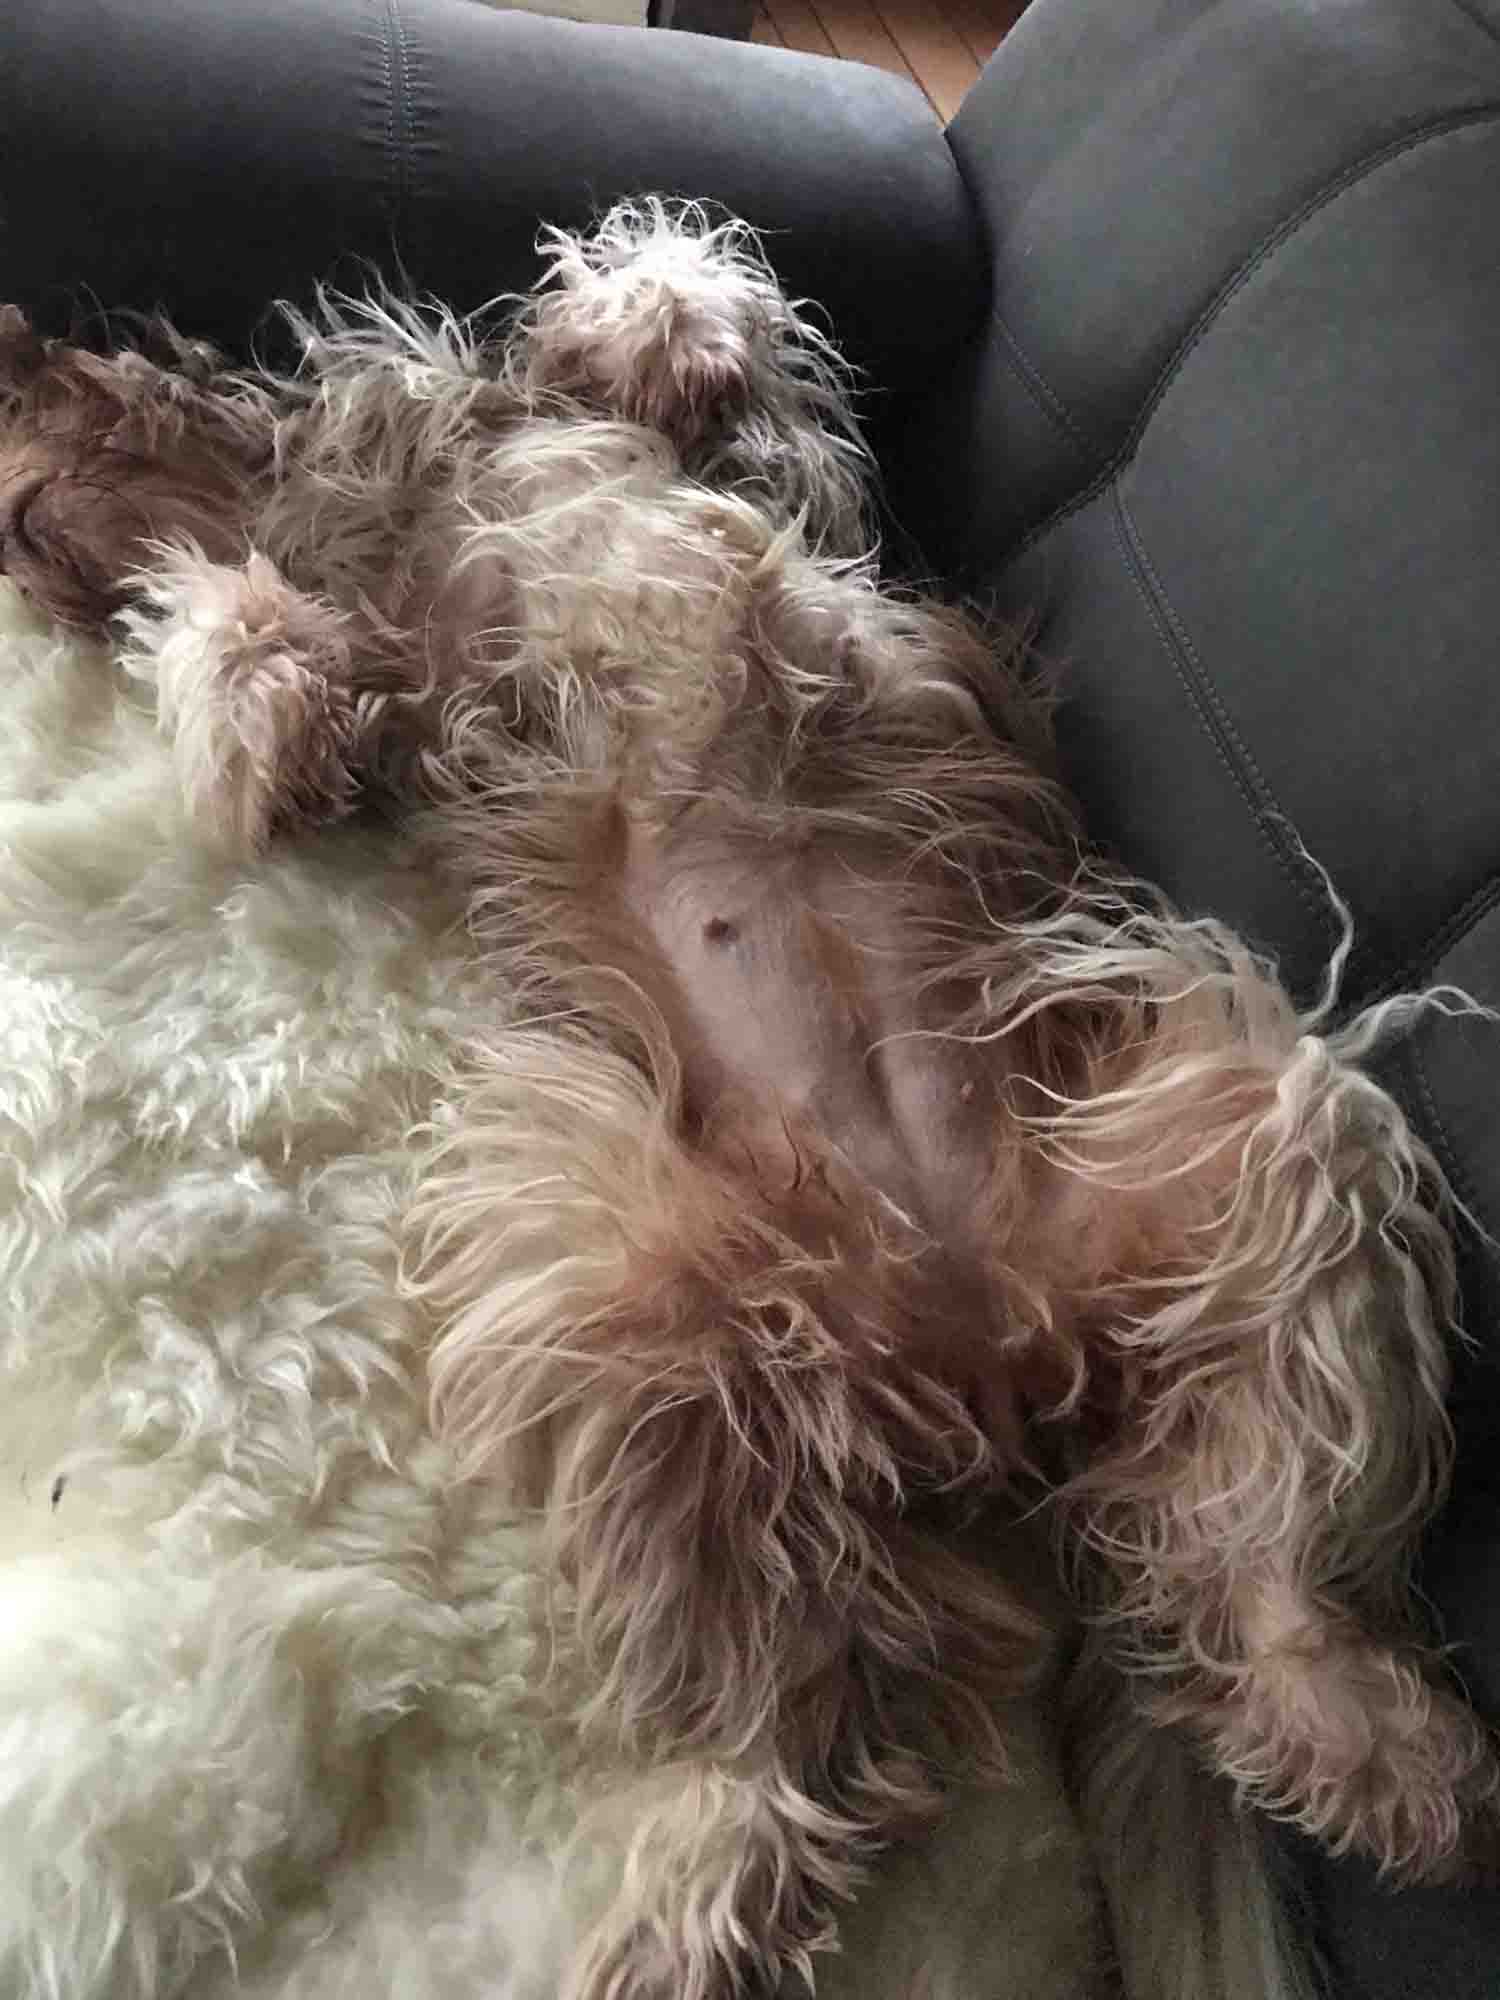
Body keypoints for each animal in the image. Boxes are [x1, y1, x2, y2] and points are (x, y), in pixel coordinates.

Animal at [2, 202, 1495, 2000]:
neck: (322, 488)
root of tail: (986, 1339)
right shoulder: (366, 698)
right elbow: (255, 662)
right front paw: (249, 675)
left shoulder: (761, 478)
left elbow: (682, 317)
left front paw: (640, 321)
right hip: (621, 1288)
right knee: (817, 1696)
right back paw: (711, 1881)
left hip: (1267, 1133)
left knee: (1259, 1547)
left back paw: (1373, 1738)